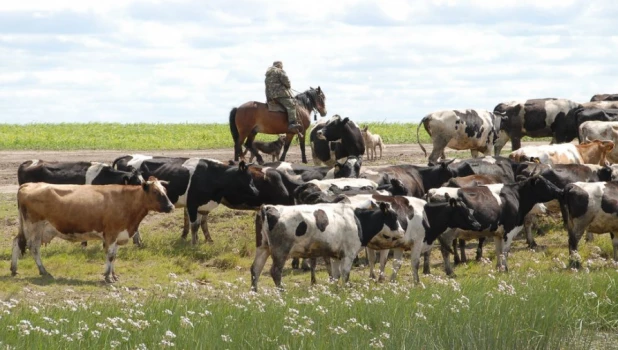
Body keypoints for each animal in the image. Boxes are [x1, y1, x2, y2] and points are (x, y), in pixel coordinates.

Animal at [11, 178, 173, 282]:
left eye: (165, 190)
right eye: (156, 192)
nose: (170, 206)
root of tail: (28, 185)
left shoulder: (118, 235)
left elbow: (114, 256)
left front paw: (113, 275)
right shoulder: (111, 234)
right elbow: (110, 256)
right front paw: (108, 277)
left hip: (32, 228)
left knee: (17, 242)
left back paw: (15, 269)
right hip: (34, 226)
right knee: (33, 247)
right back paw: (42, 270)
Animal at [112, 154, 258, 245]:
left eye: (252, 177)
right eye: (246, 179)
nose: (256, 192)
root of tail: (127, 156)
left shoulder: (203, 206)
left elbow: (202, 224)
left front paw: (205, 240)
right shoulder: (192, 204)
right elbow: (194, 225)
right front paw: (193, 243)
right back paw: (136, 241)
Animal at [249, 201, 404, 292]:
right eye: (394, 217)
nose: (402, 232)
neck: (357, 220)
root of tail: (268, 207)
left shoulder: (335, 255)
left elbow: (335, 275)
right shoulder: (348, 254)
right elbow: (345, 274)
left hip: (263, 248)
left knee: (255, 269)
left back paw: (254, 292)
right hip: (280, 251)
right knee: (275, 272)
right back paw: (282, 292)